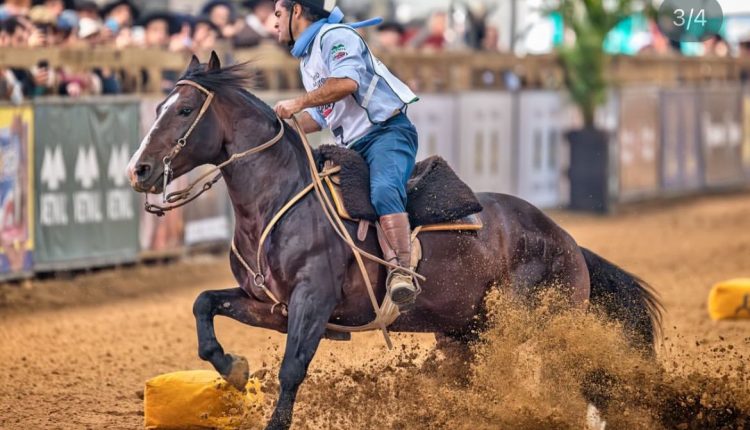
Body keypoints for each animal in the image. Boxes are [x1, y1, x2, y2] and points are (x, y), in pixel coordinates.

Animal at [128, 53, 664, 430]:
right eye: (156, 107)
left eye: (184, 109)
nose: (140, 170)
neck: (278, 200)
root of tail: (568, 241)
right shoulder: (269, 304)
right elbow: (203, 304)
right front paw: (234, 368)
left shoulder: (312, 302)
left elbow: (291, 370)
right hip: (463, 334)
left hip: (537, 325)